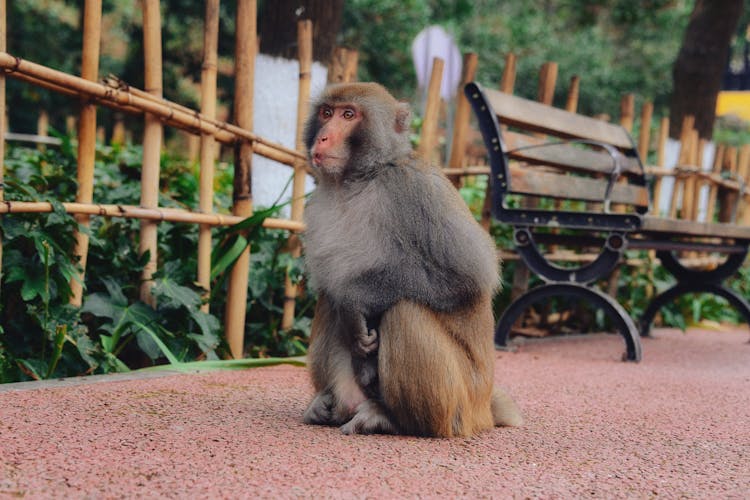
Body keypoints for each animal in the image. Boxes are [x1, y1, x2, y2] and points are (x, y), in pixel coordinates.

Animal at [300, 82, 524, 438]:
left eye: (348, 115)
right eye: (326, 112)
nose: (322, 138)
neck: (363, 177)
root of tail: (484, 409)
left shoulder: (417, 188)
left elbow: (469, 273)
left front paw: (354, 301)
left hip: (460, 398)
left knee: (404, 309)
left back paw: (396, 420)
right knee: (328, 298)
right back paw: (333, 404)